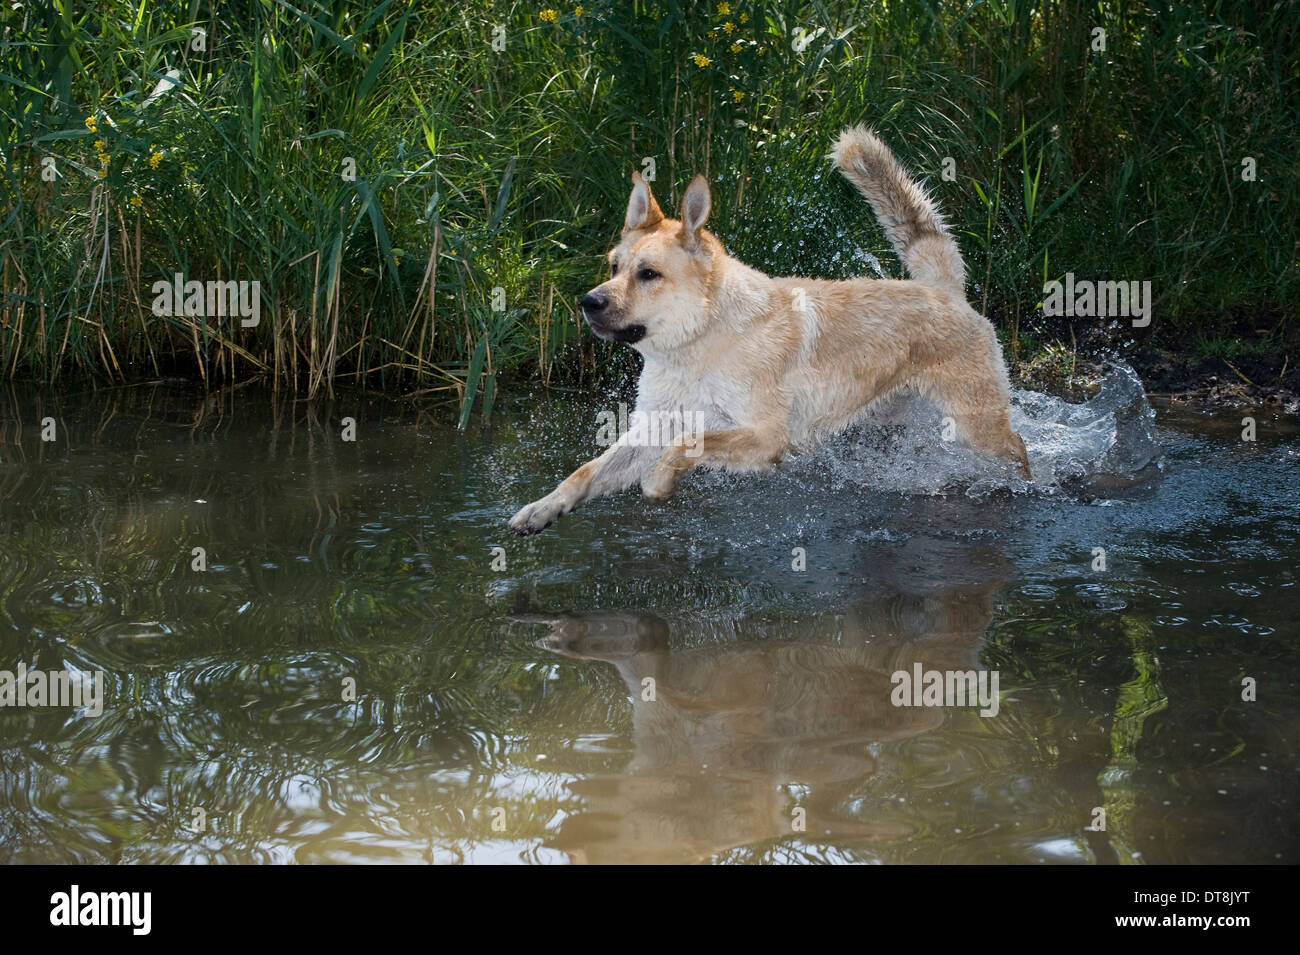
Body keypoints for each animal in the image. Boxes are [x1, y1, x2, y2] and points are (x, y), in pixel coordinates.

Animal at [506, 123, 1024, 535]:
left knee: (1019, 453)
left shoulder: (764, 436)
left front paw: (657, 484)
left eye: (648, 274)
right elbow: (585, 472)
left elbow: (689, 444)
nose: (588, 303)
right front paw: (541, 510)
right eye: (614, 266)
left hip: (979, 427)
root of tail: (943, 288)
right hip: (886, 426)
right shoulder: (653, 425)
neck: (699, 346)